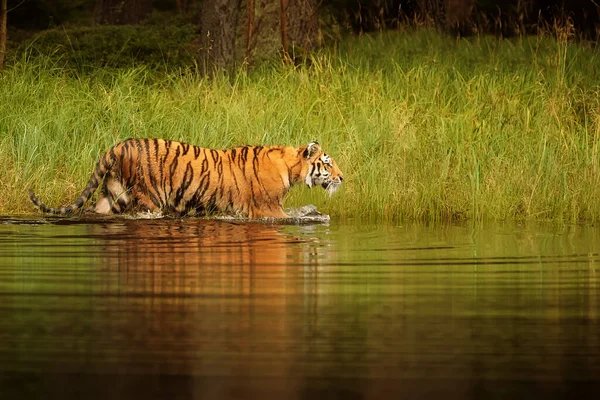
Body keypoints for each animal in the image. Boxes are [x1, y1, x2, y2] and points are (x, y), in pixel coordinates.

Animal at [28, 138, 344, 219]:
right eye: (327, 163)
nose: (342, 178)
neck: (290, 167)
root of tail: (118, 145)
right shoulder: (267, 210)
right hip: (149, 197)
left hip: (114, 195)